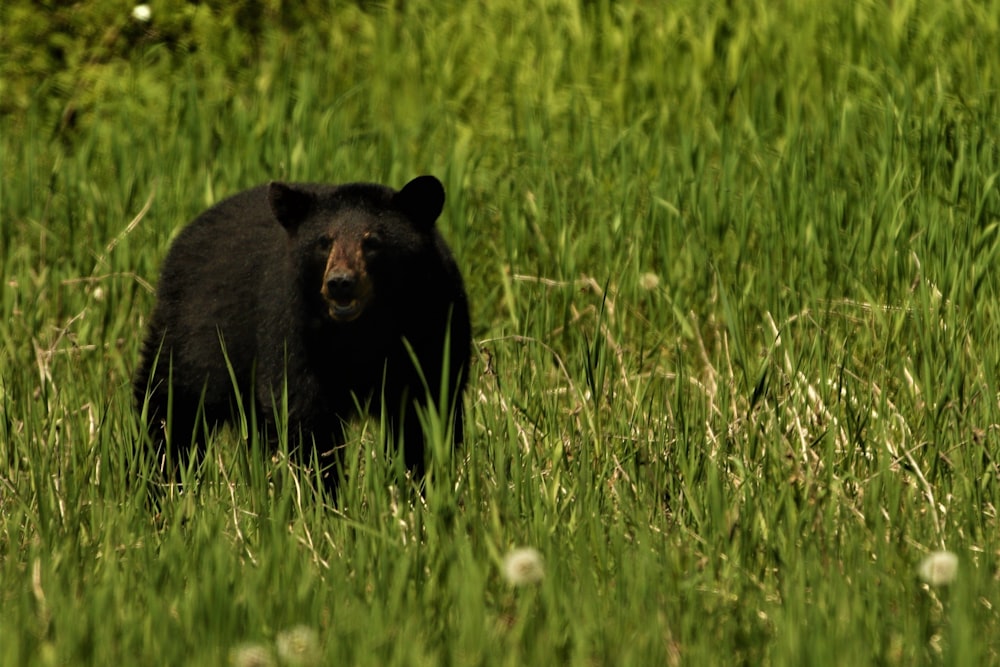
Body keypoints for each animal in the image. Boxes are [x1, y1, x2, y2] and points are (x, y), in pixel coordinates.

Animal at [132, 177, 468, 490]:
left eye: (372, 241)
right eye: (324, 241)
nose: (340, 282)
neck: (360, 331)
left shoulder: (433, 322)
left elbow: (426, 408)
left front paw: (420, 484)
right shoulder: (293, 326)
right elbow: (302, 412)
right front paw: (321, 491)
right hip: (192, 333)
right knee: (171, 407)